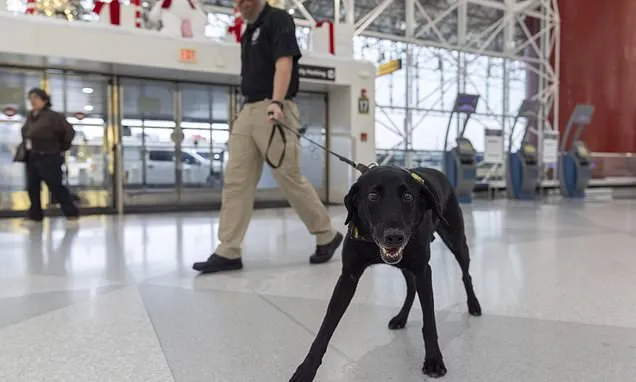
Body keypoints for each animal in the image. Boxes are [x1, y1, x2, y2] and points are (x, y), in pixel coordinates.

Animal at [290, 166, 482, 380]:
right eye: (373, 196)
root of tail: (436, 171)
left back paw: (473, 304)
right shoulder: (348, 276)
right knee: (411, 288)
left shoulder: (423, 271)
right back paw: (401, 317)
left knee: (466, 274)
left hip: (456, 240)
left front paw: (433, 359)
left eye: (408, 196)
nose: (395, 237)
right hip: (405, 266)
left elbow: (429, 322)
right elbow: (326, 327)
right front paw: (306, 370)